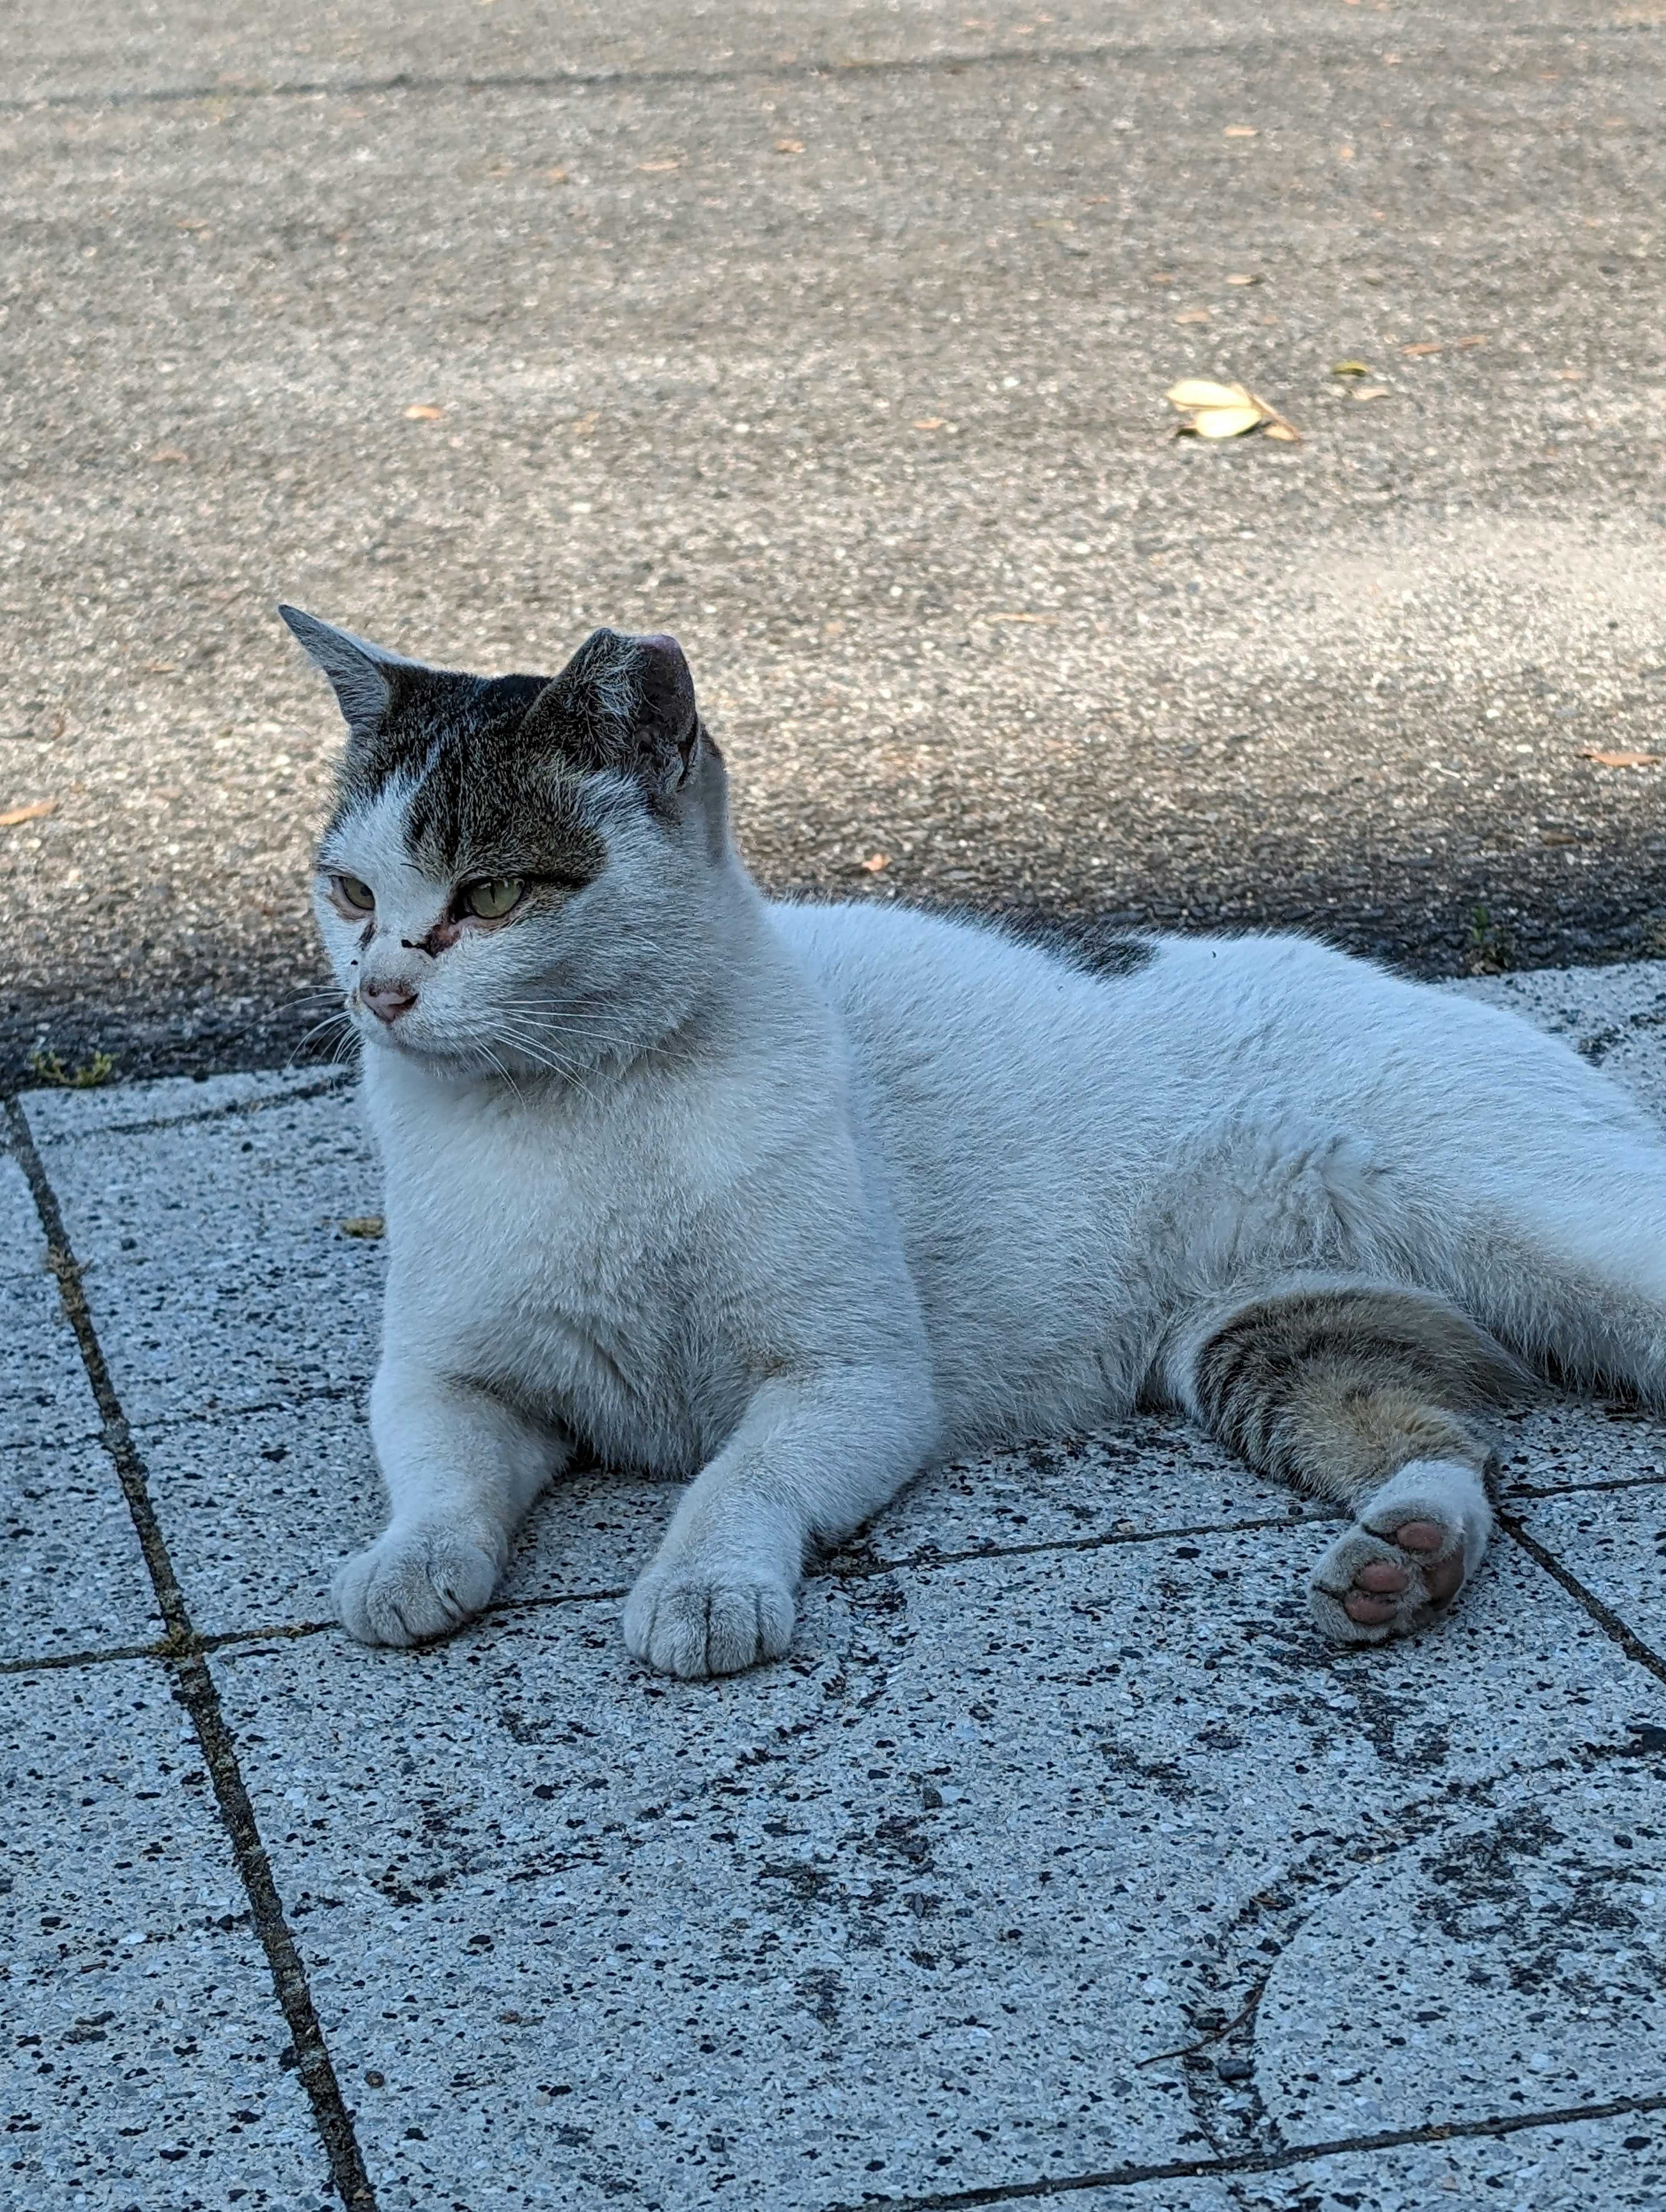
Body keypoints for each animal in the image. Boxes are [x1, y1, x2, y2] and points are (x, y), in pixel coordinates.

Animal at [283, 606, 1663, 1672]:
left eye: (493, 895)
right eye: (349, 890)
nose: (379, 990)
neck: (579, 1113)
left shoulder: (855, 1383)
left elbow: (739, 1477)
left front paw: (706, 1585)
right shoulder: (443, 1377)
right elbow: (442, 1477)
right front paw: (408, 1563)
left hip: (1550, 1239)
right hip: (1263, 1339)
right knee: (1451, 1445)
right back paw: (1403, 1562)